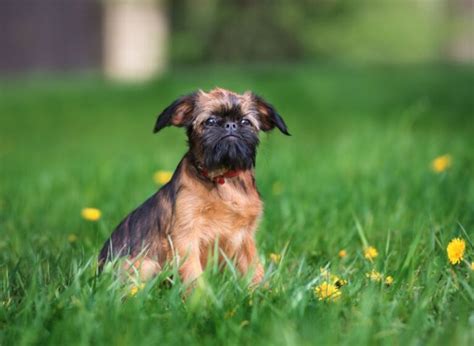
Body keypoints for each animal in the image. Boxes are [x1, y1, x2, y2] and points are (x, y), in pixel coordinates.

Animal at [99, 87, 288, 286]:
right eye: (210, 121)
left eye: (245, 122)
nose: (230, 125)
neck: (223, 179)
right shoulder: (186, 237)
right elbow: (193, 274)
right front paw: (200, 295)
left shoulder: (245, 239)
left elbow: (255, 270)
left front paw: (263, 291)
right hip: (146, 264)